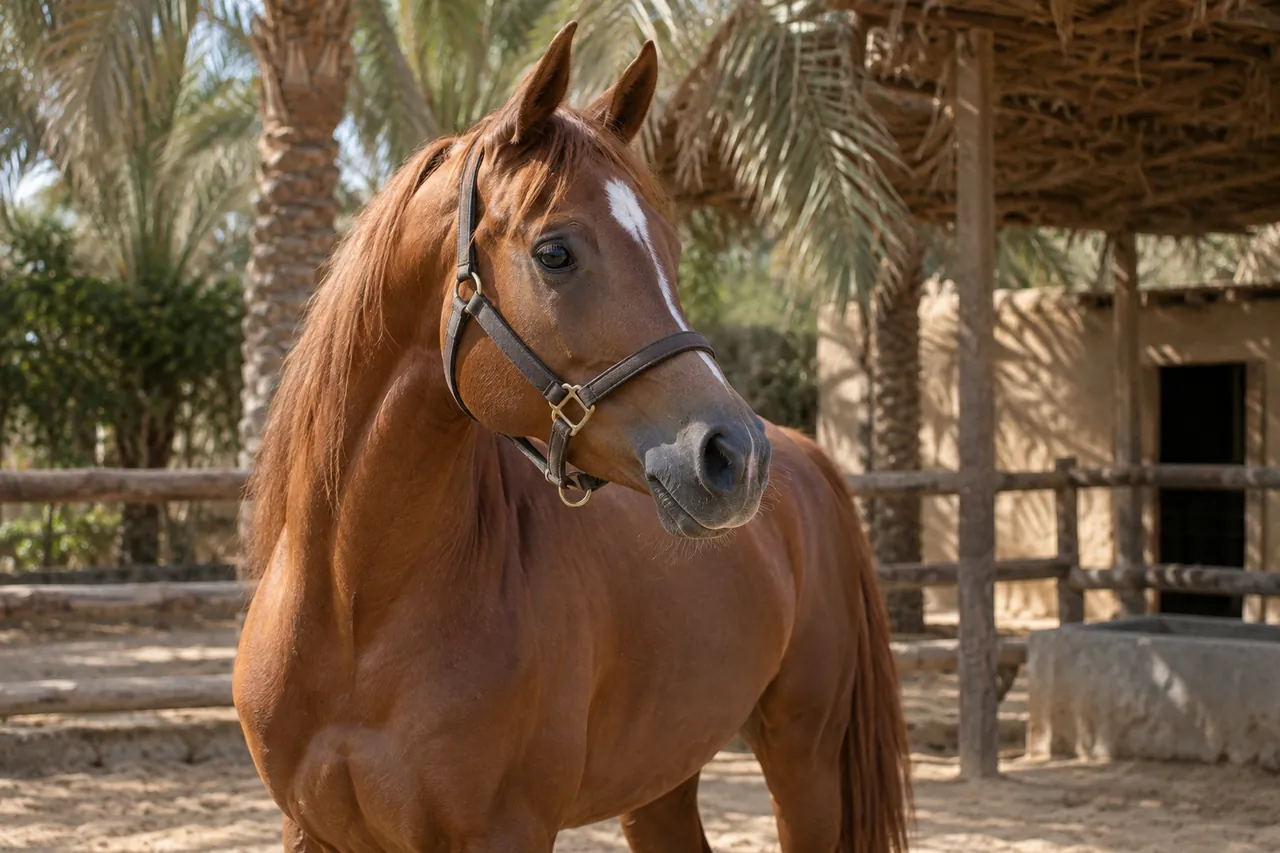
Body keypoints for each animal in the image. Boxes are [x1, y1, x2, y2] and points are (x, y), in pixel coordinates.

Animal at [233, 22, 911, 853]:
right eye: (555, 252)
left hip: (803, 758)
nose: (735, 456)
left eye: (670, 254)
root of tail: (807, 458)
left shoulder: (507, 829)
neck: (354, 611)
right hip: (663, 776)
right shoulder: (309, 830)